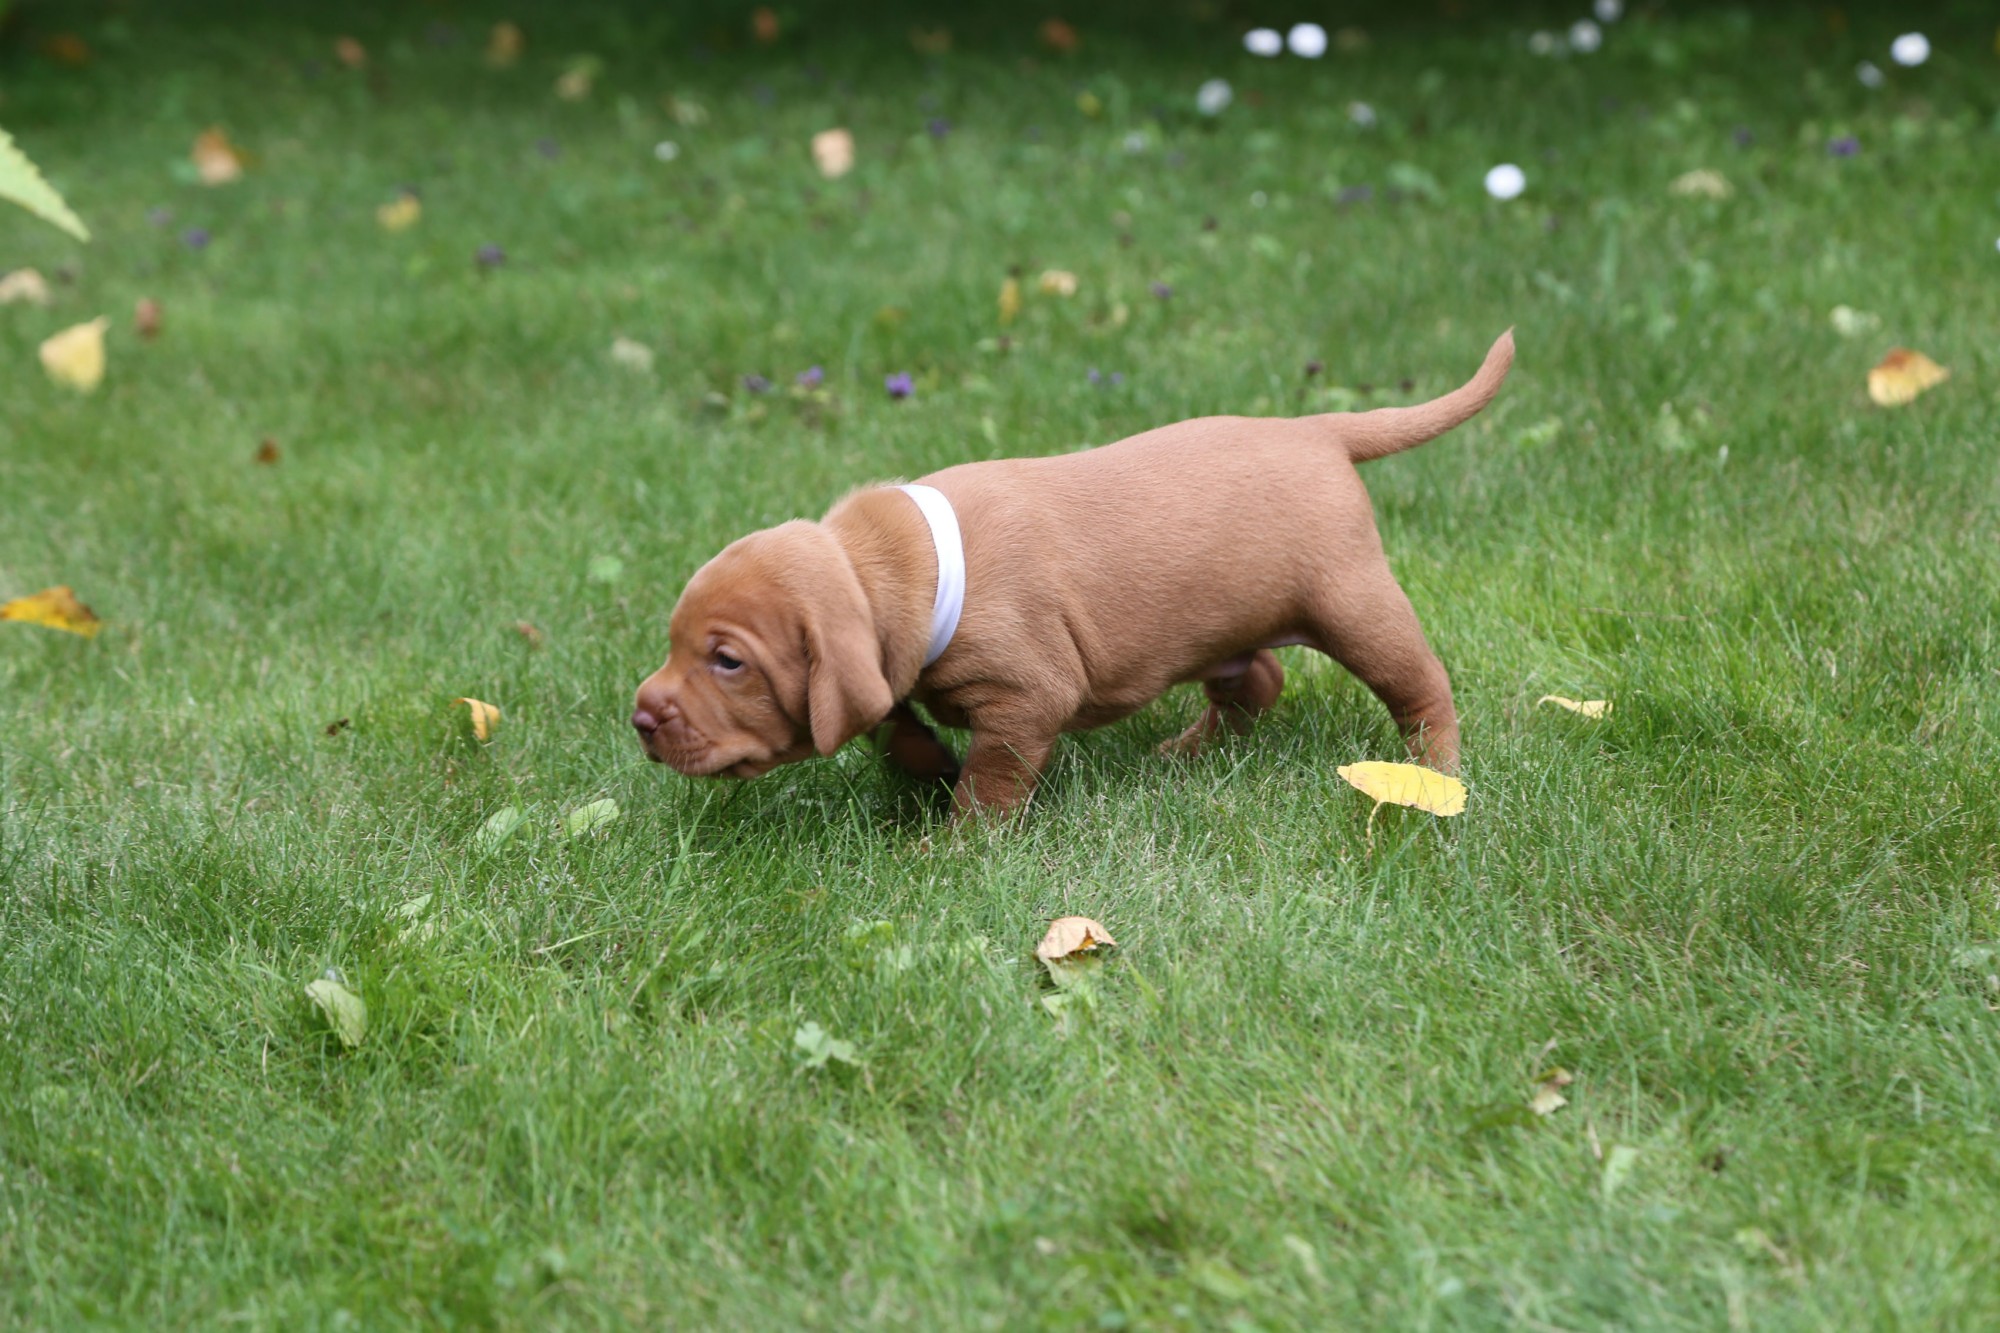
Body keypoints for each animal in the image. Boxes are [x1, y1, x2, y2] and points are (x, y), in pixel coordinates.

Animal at [640, 326, 1512, 816]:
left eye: (727, 661)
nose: (642, 716)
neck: (909, 562)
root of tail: (1318, 430)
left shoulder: (1025, 696)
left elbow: (991, 783)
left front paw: (954, 845)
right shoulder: (893, 661)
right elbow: (890, 717)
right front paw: (922, 766)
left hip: (1352, 601)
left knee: (1421, 686)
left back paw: (1435, 771)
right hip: (1223, 621)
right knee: (1256, 678)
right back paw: (1189, 754)